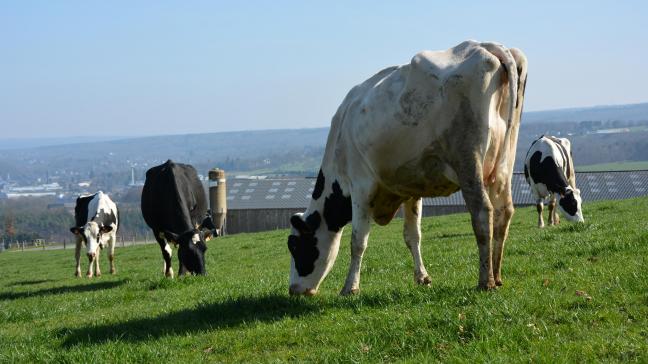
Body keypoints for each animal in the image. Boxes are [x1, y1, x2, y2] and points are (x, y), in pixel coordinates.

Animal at [288, 40, 528, 296]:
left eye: (295, 246)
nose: (293, 289)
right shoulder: (411, 188)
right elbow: (412, 235)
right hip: (504, 165)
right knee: (504, 211)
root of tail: (483, 45)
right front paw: (422, 277)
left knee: (483, 211)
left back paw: (486, 280)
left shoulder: (360, 186)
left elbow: (358, 241)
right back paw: (497, 275)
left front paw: (350, 287)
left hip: (468, 162)